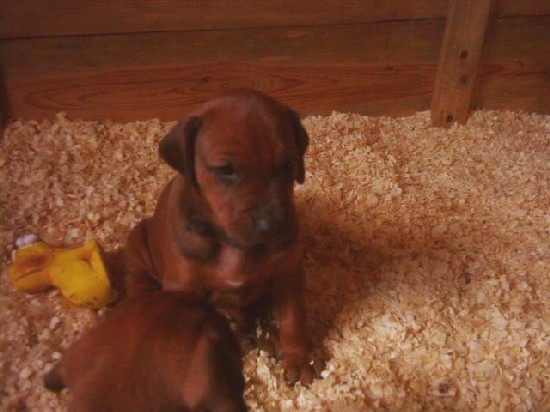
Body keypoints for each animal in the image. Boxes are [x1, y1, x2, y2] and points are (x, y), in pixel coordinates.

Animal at [123, 89, 319, 385]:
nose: (273, 226)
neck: (232, 242)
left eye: (288, 165)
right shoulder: (183, 286)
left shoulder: (289, 274)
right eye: (226, 169)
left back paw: (267, 334)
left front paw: (298, 359)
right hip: (139, 242)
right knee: (137, 283)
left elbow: (294, 321)